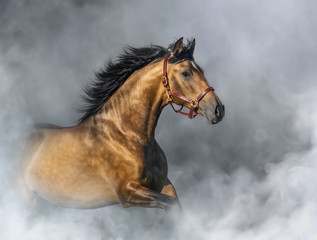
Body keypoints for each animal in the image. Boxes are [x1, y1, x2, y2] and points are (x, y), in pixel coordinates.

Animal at [19, 37, 223, 210]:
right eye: (186, 73)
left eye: (201, 70)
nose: (218, 109)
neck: (128, 134)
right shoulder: (128, 192)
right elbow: (170, 205)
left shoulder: (163, 184)